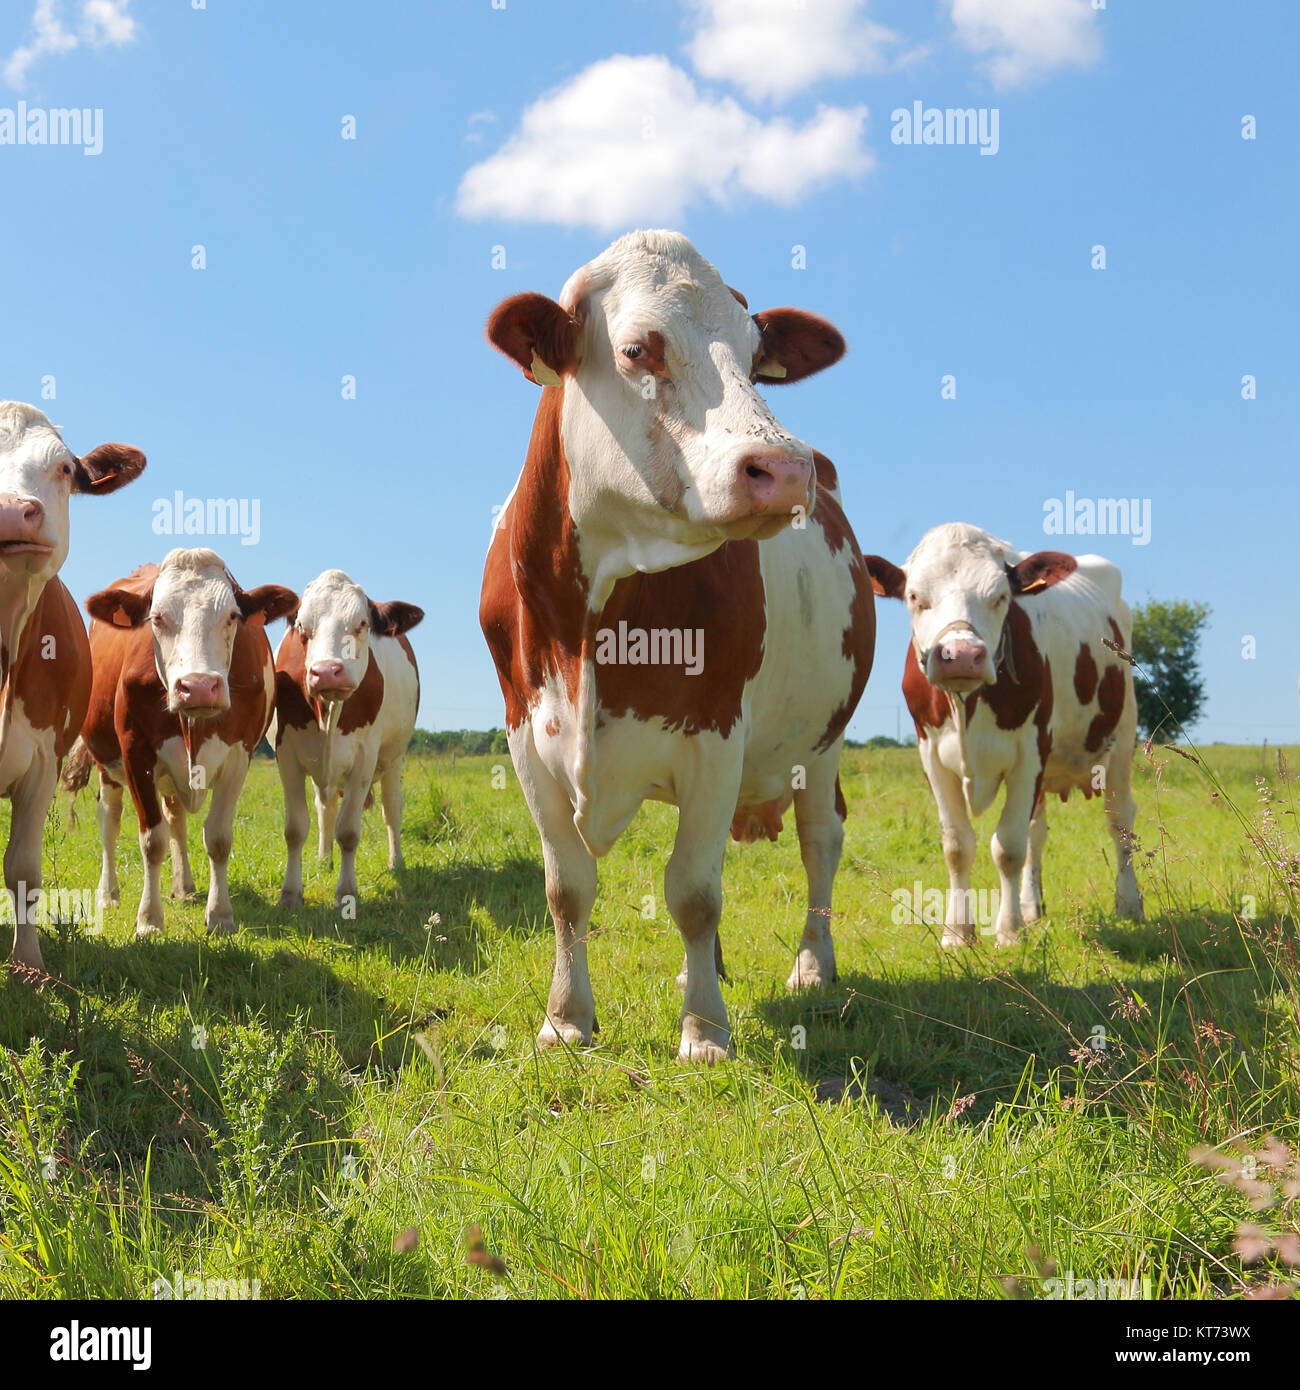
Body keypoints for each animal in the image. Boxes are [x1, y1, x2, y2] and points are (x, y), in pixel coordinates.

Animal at [68, 547, 300, 939]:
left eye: (233, 616)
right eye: (157, 618)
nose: (198, 686)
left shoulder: (240, 754)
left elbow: (218, 838)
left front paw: (220, 915)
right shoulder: (135, 753)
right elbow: (151, 840)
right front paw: (149, 919)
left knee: (175, 817)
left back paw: (184, 886)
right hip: (106, 762)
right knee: (110, 818)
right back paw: (109, 894)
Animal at [269, 567, 422, 911]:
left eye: (362, 623)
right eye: (302, 626)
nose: (326, 671)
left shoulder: (364, 759)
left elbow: (349, 831)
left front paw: (347, 892)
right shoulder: (287, 756)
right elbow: (295, 828)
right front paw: (291, 893)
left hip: (394, 756)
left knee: (392, 807)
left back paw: (396, 862)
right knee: (325, 810)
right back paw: (323, 860)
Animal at [478, 230, 873, 1061]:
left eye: (757, 359)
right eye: (637, 349)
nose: (784, 468)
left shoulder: (717, 732)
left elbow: (693, 894)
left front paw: (705, 1030)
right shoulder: (524, 734)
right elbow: (567, 890)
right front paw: (566, 1018)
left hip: (823, 741)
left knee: (819, 841)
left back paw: (810, 965)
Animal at [867, 525, 1145, 950]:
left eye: (1000, 597)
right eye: (915, 597)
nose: (961, 655)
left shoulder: (1030, 752)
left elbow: (1008, 847)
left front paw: (1009, 931)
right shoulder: (930, 753)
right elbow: (958, 845)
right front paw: (958, 932)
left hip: (1123, 736)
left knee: (1119, 819)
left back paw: (1129, 903)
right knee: (1037, 832)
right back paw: (1032, 907)